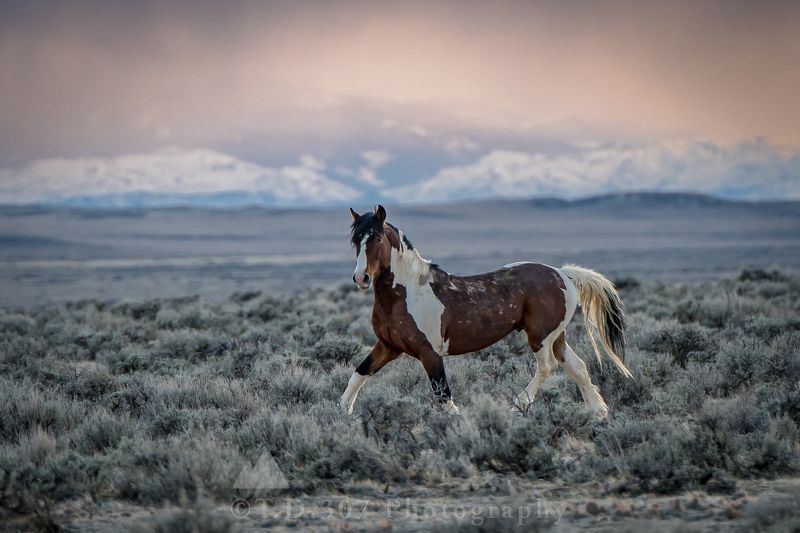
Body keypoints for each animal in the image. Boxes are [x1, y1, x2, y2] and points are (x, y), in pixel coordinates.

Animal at [340, 205, 630, 418]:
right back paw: (598, 413)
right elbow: (358, 375)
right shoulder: (387, 346)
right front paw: (342, 415)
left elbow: (443, 396)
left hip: (539, 336)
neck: (407, 292)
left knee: (548, 367)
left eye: (377, 238)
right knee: (577, 367)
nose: (361, 278)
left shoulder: (429, 352)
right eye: (355, 240)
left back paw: (517, 406)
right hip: (556, 336)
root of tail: (562, 273)